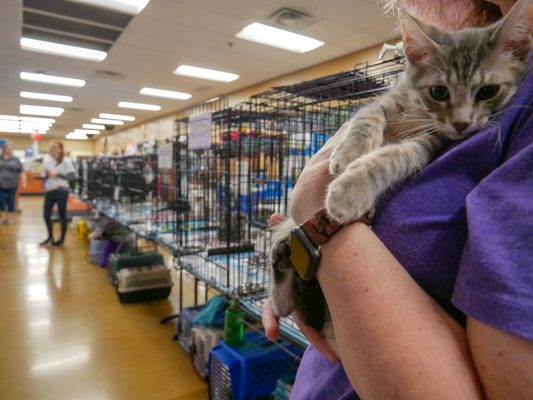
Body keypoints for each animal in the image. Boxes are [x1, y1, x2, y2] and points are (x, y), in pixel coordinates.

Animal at [270, 0, 532, 350]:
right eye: (439, 91)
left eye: (487, 91)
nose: (462, 123)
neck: (418, 110)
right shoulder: (383, 103)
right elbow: (365, 119)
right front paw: (349, 153)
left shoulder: (428, 143)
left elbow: (392, 158)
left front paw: (349, 190)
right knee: (284, 302)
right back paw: (280, 257)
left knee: (291, 303)